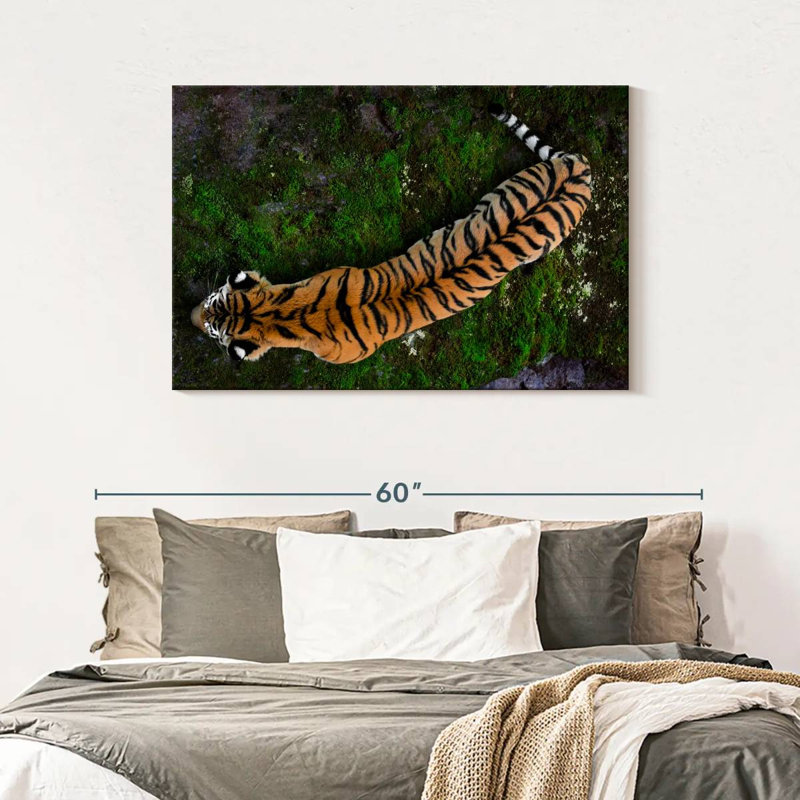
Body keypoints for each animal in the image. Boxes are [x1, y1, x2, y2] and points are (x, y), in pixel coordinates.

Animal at [191, 103, 592, 365]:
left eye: (210, 328)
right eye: (209, 303)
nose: (189, 315)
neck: (279, 312)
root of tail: (580, 166)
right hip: (502, 191)